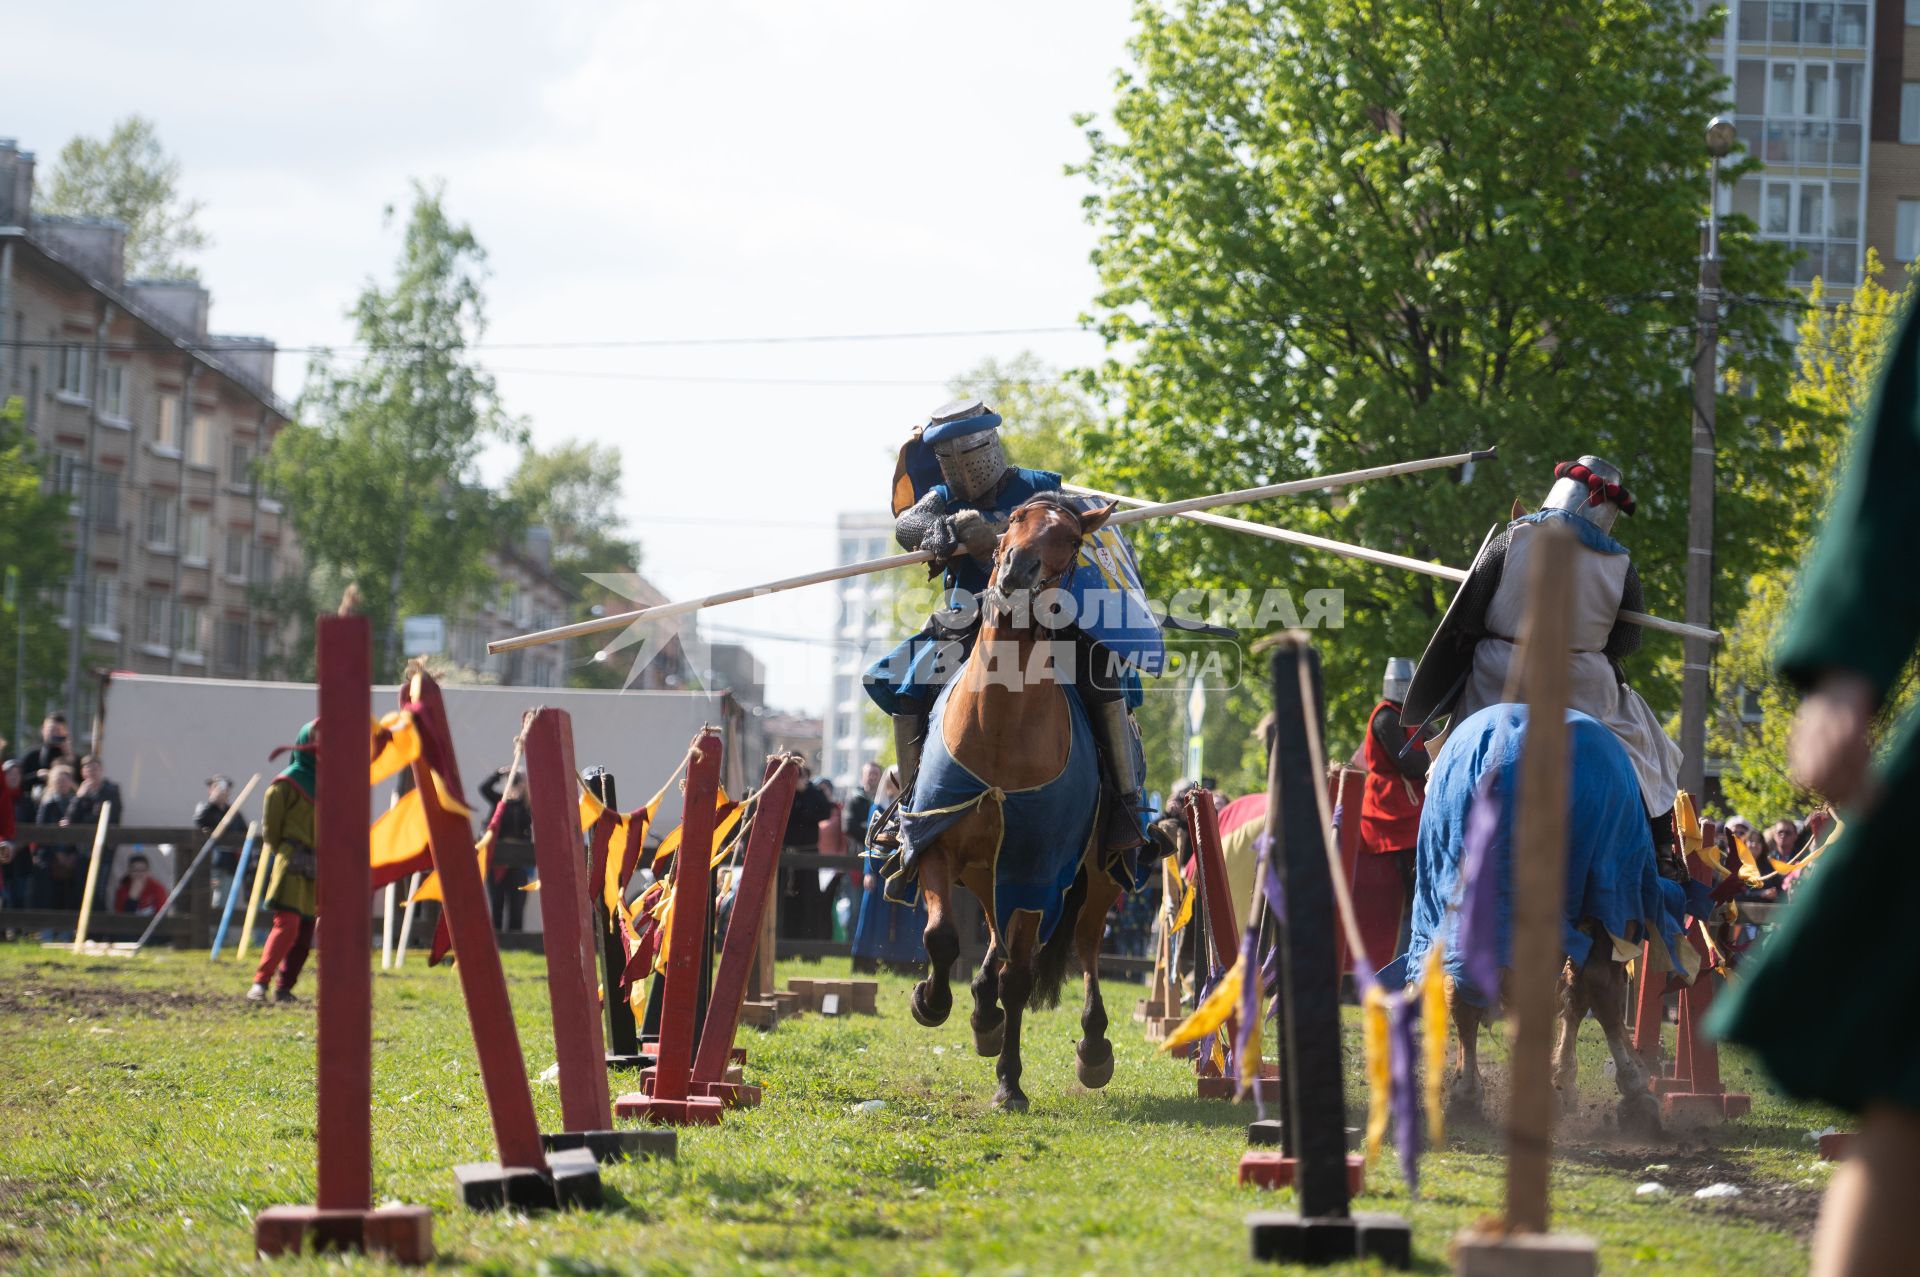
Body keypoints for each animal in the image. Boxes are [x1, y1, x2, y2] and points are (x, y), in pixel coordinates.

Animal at [910, 491, 1128, 1113]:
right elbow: (941, 936)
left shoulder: (1036, 870)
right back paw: (981, 1009)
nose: (1015, 573)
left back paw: (1093, 1047)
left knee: (1082, 945)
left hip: (1095, 875)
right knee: (994, 937)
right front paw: (932, 1001)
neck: (1000, 727)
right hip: (987, 871)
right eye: (1012, 521)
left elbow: (1022, 978)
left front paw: (1010, 1083)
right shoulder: (935, 844)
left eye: (1072, 540)